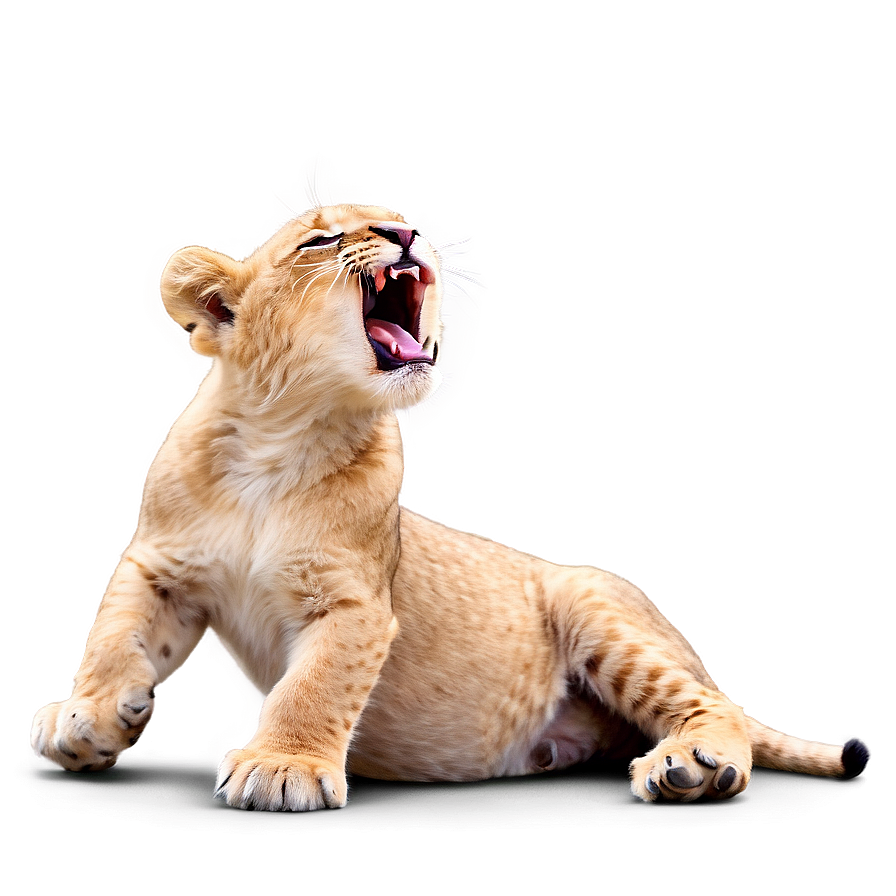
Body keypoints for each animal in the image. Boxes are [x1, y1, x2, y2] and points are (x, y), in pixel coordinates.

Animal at [31, 204, 870, 809]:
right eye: (320, 239)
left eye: (392, 217)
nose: (406, 231)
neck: (280, 445)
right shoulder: (161, 564)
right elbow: (113, 633)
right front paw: (86, 718)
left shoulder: (356, 601)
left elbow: (314, 686)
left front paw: (282, 765)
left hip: (595, 602)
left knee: (710, 702)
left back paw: (693, 765)